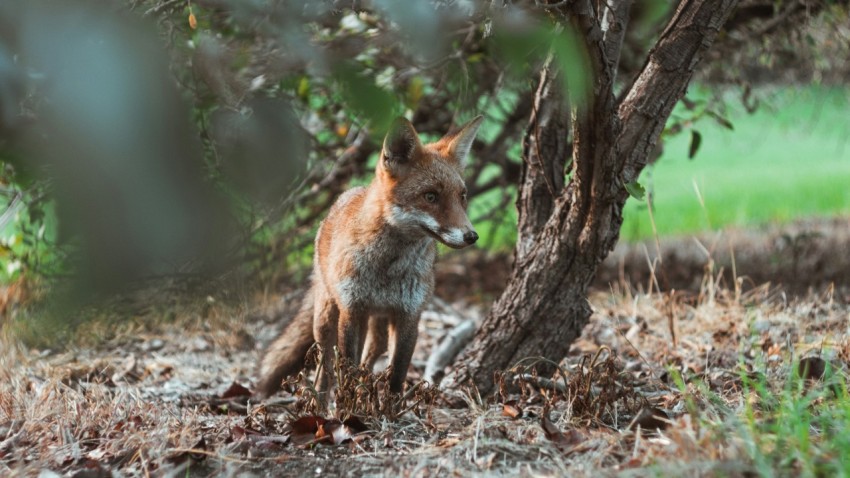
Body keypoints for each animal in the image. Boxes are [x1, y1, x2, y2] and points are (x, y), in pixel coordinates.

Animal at [256, 115, 483, 396]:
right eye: (430, 196)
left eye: (462, 197)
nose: (472, 236)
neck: (388, 268)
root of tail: (343, 196)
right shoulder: (351, 311)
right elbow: (346, 371)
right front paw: (345, 406)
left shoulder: (409, 316)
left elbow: (396, 376)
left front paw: (387, 405)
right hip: (327, 317)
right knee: (324, 369)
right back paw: (320, 401)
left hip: (379, 325)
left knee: (370, 357)